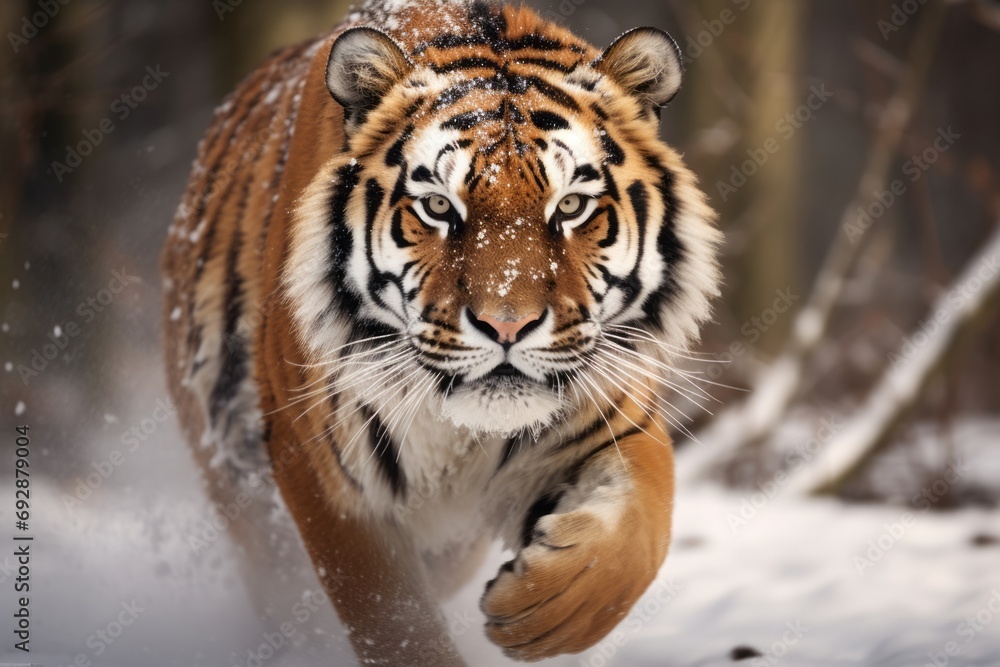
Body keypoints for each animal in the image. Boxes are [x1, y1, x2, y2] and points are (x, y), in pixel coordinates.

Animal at [166, 0, 720, 664]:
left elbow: (638, 536)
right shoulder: (329, 478)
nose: (507, 324)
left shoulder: (613, 412)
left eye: (570, 207)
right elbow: (396, 625)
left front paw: (541, 611)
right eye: (437, 207)